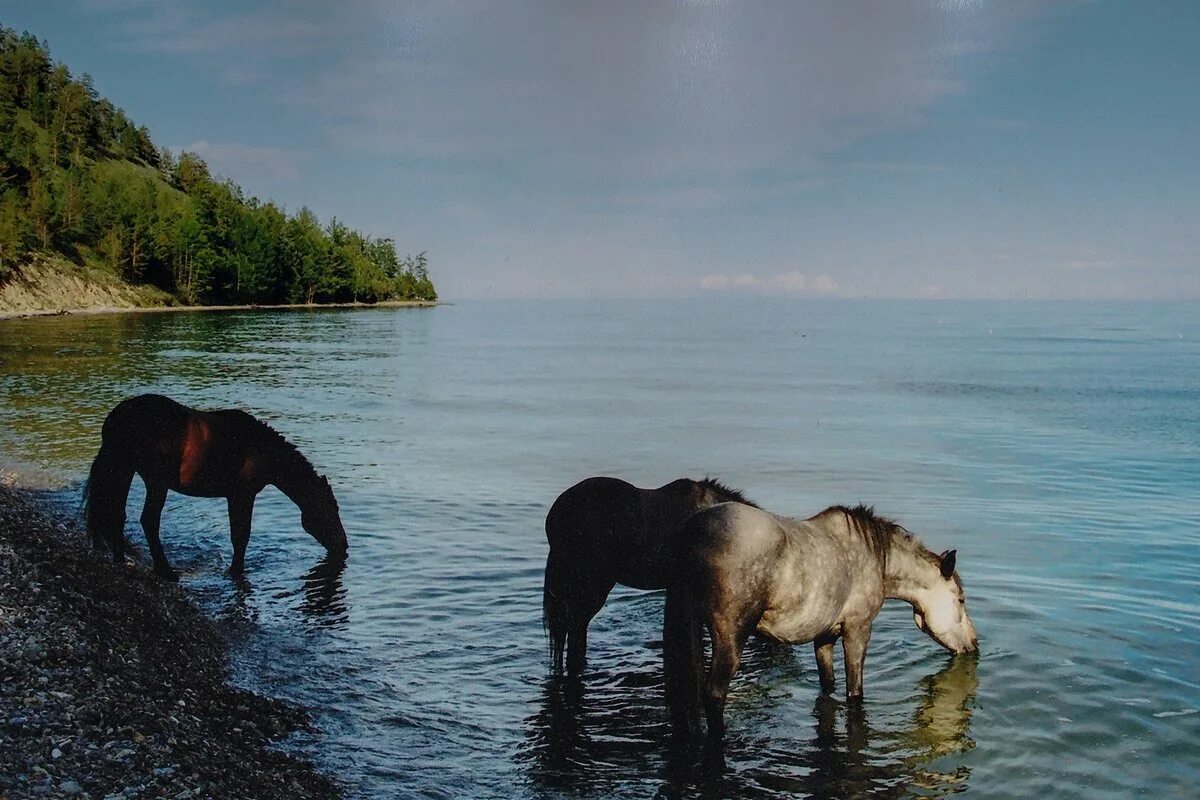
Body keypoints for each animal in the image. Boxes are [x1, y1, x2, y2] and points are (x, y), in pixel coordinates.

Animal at [82, 393, 348, 580]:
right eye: (331, 510)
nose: (344, 545)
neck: (259, 448)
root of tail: (119, 416)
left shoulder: (234, 496)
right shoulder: (242, 494)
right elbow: (241, 536)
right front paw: (236, 571)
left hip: (125, 470)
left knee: (117, 514)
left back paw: (121, 560)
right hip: (155, 481)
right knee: (148, 520)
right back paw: (166, 571)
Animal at [663, 502, 977, 742]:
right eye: (961, 599)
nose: (974, 643)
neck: (877, 558)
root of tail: (691, 532)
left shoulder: (824, 636)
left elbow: (828, 683)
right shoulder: (858, 629)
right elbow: (854, 691)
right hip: (730, 637)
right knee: (714, 694)